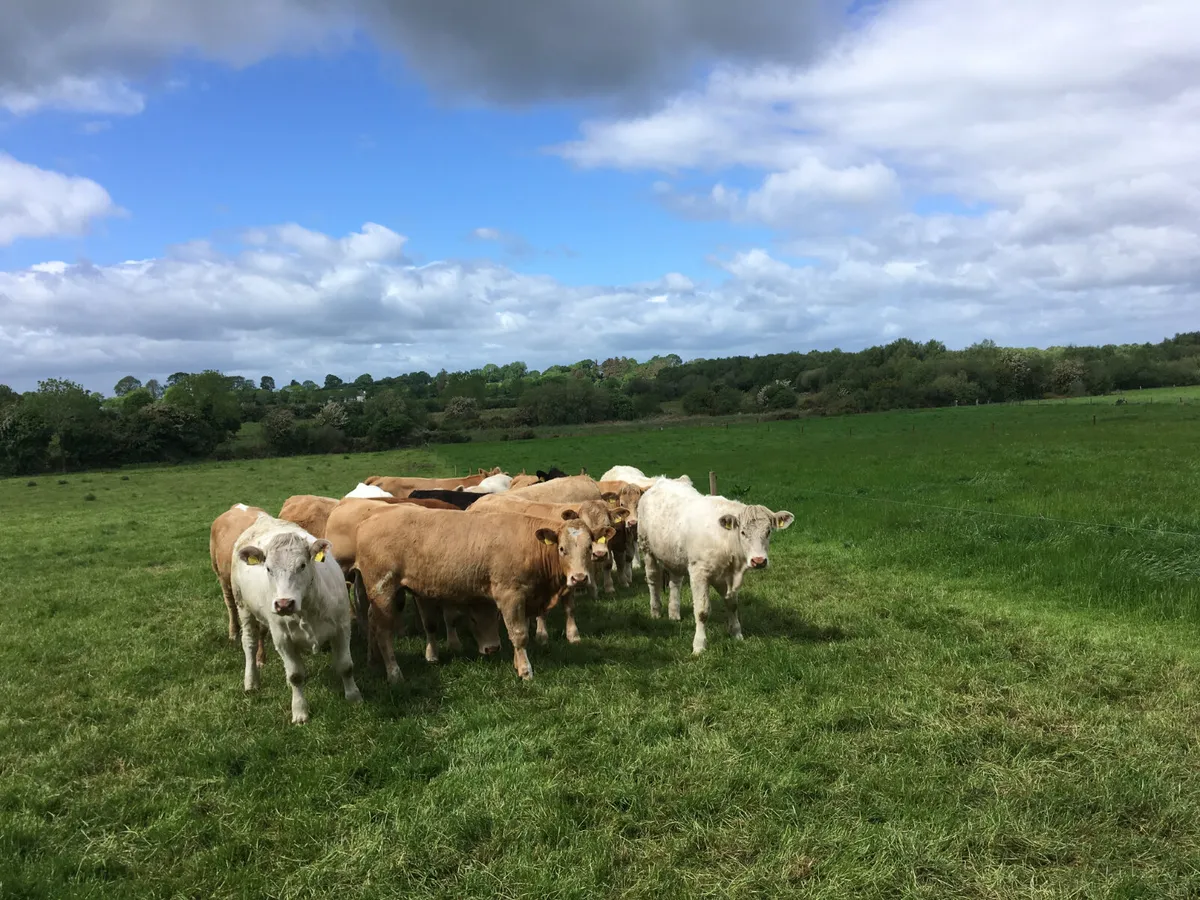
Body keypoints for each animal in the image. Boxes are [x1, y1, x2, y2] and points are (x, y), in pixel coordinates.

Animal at [229, 513, 360, 724]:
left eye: (302, 565)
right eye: (268, 568)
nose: (284, 604)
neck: (307, 610)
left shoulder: (342, 628)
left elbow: (346, 666)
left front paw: (354, 697)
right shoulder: (282, 639)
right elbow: (296, 676)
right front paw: (299, 711)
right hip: (243, 606)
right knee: (249, 643)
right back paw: (251, 681)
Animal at [348, 508, 609, 681]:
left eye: (589, 547)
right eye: (562, 549)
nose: (579, 578)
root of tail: (367, 522)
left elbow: (517, 632)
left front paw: (517, 664)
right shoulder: (510, 595)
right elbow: (519, 634)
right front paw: (525, 671)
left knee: (372, 621)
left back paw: (373, 660)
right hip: (383, 590)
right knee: (383, 631)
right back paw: (394, 673)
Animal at [638, 480, 796, 657]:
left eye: (768, 531)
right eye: (742, 532)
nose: (759, 560)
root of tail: (662, 480)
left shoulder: (727, 577)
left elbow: (732, 605)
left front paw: (737, 634)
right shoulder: (699, 574)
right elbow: (702, 611)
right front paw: (699, 646)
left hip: (674, 557)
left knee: (675, 583)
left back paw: (674, 613)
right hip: (646, 548)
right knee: (653, 580)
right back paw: (656, 611)